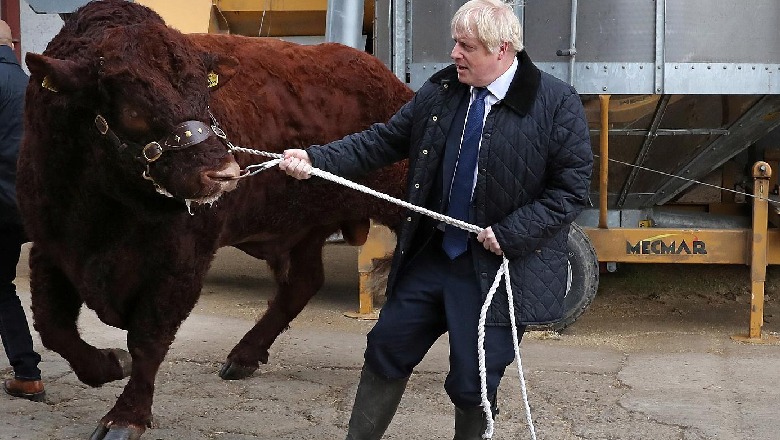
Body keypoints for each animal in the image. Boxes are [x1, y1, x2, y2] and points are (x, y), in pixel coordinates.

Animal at [15, 1, 412, 438]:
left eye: (205, 96)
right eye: (133, 108)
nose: (224, 173)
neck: (104, 210)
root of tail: (386, 78)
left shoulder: (183, 261)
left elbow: (148, 337)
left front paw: (125, 416)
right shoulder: (51, 247)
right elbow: (53, 327)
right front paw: (108, 365)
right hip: (300, 228)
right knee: (301, 283)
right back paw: (244, 356)